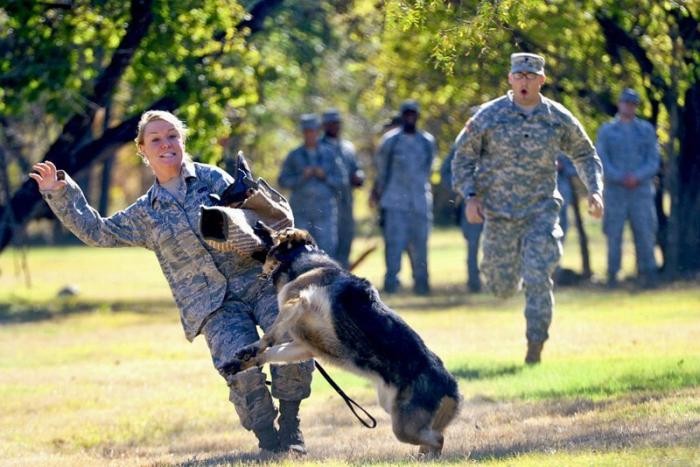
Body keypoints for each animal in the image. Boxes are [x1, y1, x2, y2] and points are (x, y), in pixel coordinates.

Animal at [224, 225, 462, 456]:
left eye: (275, 232)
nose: (256, 223)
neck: (303, 261)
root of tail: (453, 388)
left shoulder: (298, 302)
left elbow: (269, 335)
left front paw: (250, 349)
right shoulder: (303, 346)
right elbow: (271, 353)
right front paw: (240, 362)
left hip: (403, 427)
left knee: (437, 439)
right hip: (400, 416)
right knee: (433, 438)